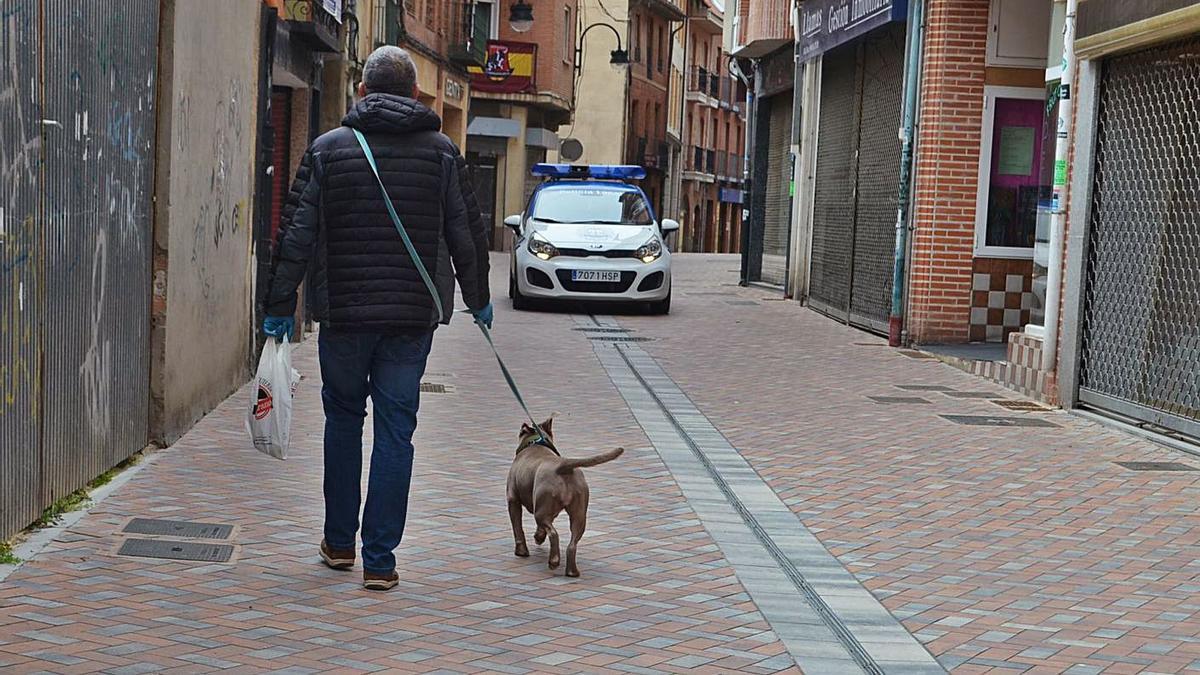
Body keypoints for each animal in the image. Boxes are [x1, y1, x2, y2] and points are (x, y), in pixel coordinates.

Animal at [506, 417, 624, 576]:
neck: (535, 443)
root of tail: (563, 467)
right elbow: (540, 528)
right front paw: (538, 537)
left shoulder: (513, 499)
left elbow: (517, 527)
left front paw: (521, 551)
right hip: (578, 514)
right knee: (572, 543)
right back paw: (572, 571)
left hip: (541, 511)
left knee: (553, 533)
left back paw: (554, 561)